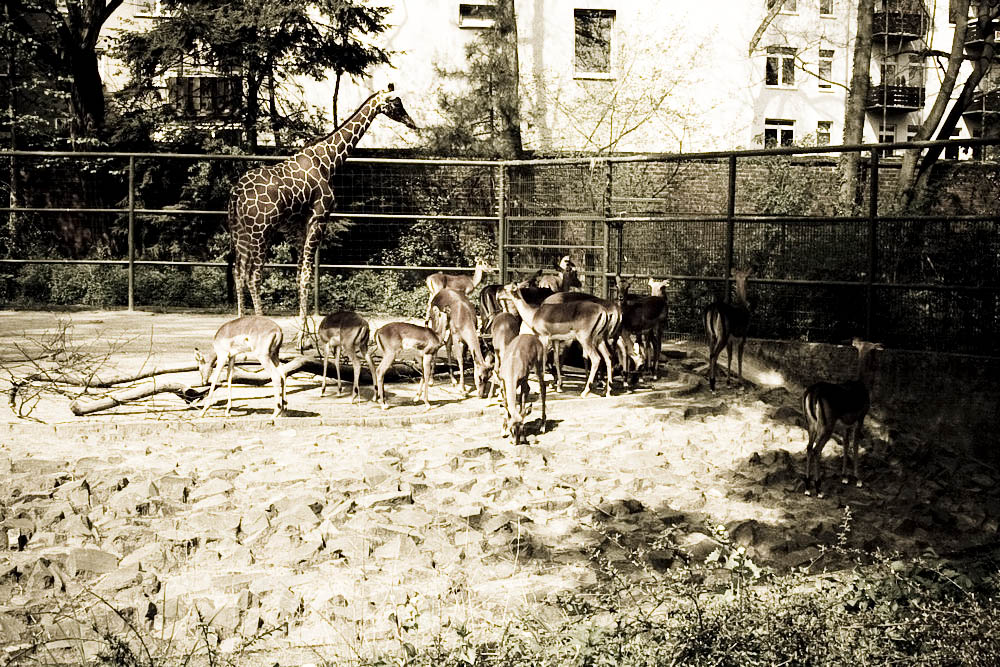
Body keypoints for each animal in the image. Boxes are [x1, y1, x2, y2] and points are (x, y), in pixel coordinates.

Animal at [801, 338, 883, 497]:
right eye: (873, 350)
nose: (876, 365)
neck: (862, 385)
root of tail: (812, 392)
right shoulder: (860, 418)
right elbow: (855, 445)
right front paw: (858, 479)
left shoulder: (846, 423)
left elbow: (845, 444)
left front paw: (844, 477)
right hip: (827, 425)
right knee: (816, 450)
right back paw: (819, 489)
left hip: (811, 424)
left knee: (808, 447)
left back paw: (807, 487)